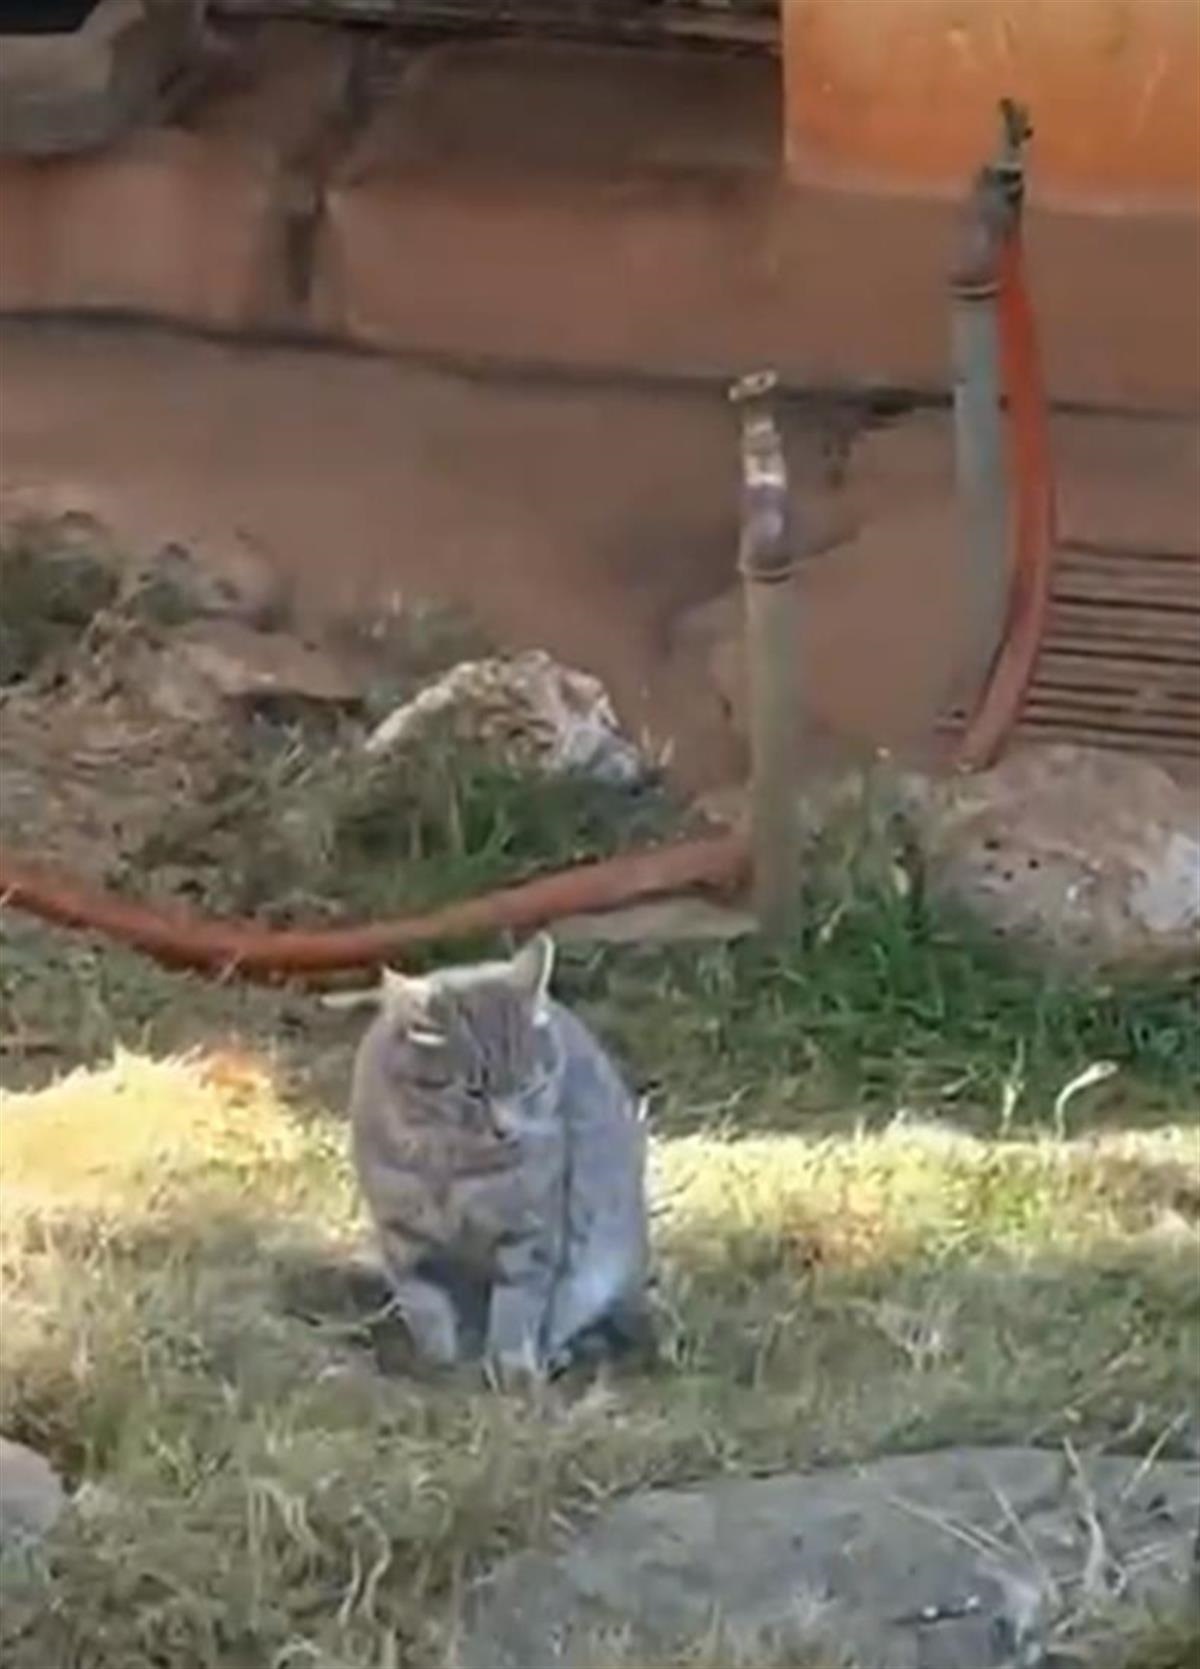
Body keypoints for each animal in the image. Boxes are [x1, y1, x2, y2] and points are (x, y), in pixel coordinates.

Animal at [348, 934, 649, 1388]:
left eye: (528, 1087)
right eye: (474, 1091)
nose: (506, 1130)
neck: (450, 1166)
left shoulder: (530, 1232)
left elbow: (517, 1305)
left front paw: (511, 1367)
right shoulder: (404, 1233)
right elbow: (426, 1301)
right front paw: (437, 1359)